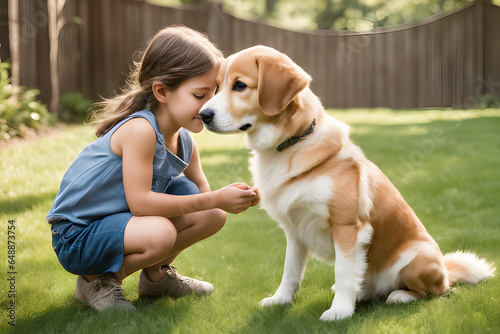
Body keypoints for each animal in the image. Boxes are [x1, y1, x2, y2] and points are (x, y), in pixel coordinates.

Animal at [199, 45, 496, 320]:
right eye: (218, 86)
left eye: (240, 85)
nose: (203, 115)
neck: (293, 143)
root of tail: (445, 270)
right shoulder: (294, 230)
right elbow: (290, 270)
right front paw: (281, 300)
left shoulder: (347, 226)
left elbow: (342, 271)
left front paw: (339, 312)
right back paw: (363, 292)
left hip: (417, 257)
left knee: (436, 291)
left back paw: (399, 295)